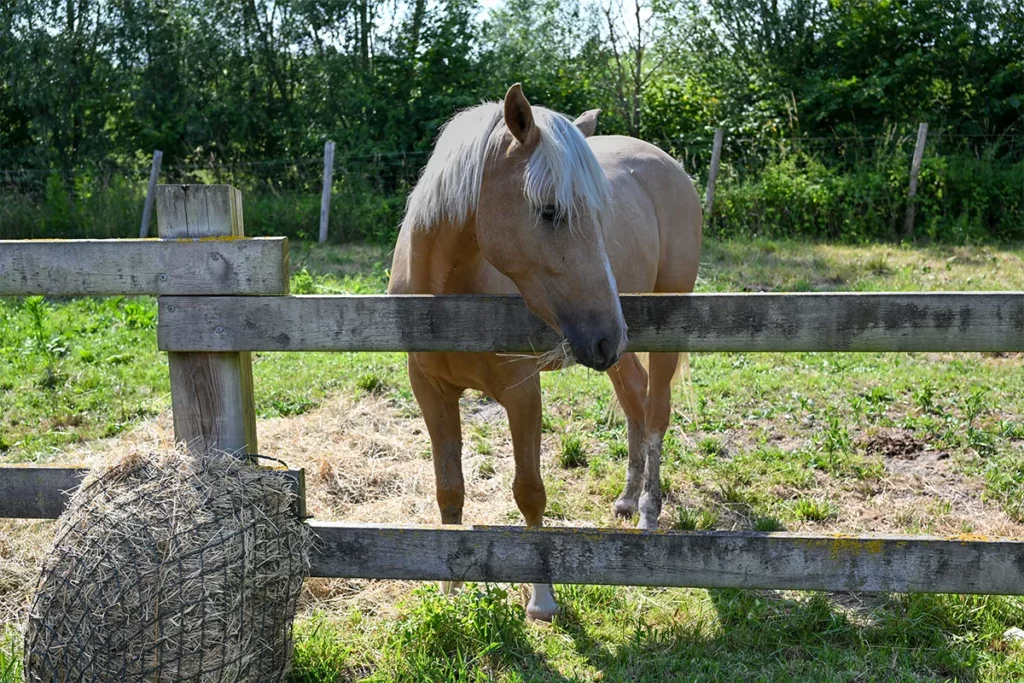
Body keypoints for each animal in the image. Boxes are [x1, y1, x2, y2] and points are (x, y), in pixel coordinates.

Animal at [387, 84, 702, 620]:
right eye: (550, 210)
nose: (608, 334)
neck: (450, 298)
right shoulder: (431, 393)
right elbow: (449, 489)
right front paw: (448, 593)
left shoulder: (522, 394)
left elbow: (530, 493)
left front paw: (542, 598)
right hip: (614, 354)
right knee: (635, 401)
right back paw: (626, 498)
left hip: (659, 329)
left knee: (657, 412)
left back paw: (647, 512)